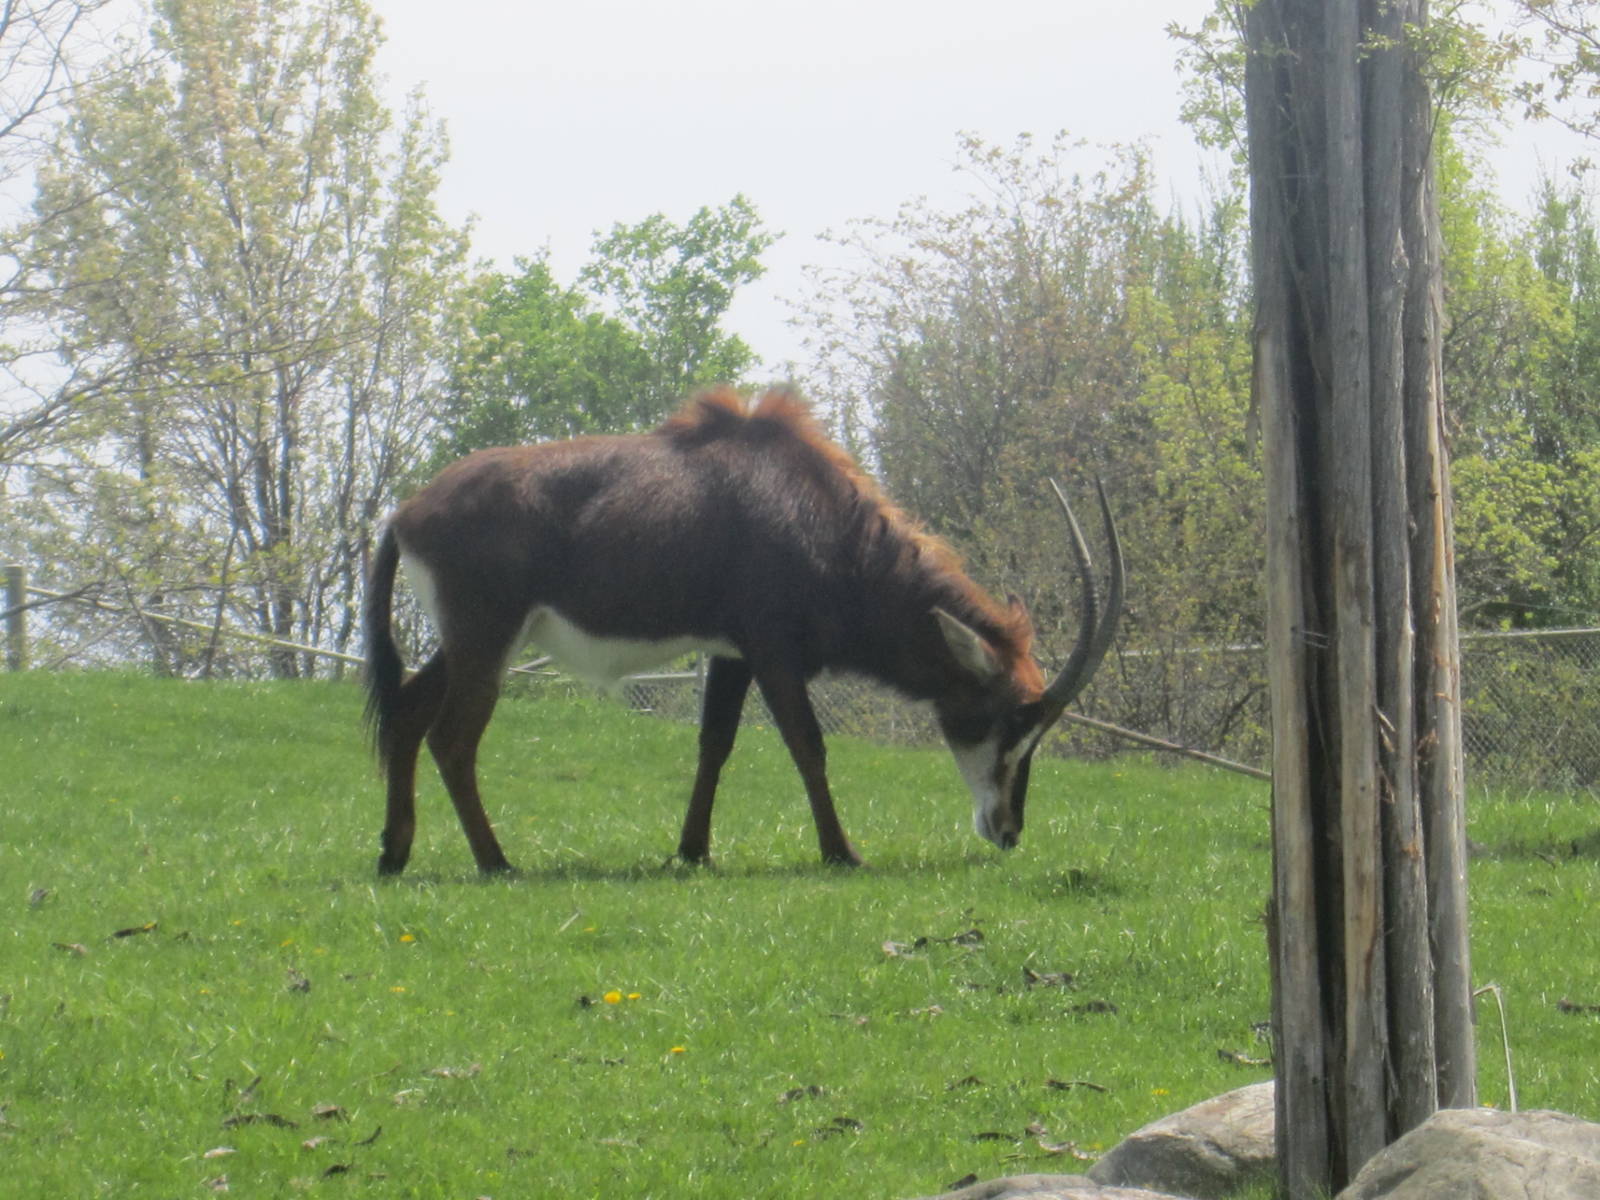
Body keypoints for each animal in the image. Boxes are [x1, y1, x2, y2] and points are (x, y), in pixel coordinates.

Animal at [363, 386, 1122, 874]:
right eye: (1010, 721)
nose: (1008, 831)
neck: (820, 521)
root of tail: (405, 513)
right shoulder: (773, 651)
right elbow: (808, 746)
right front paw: (841, 852)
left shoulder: (731, 655)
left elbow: (715, 745)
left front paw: (693, 851)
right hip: (487, 638)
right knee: (451, 738)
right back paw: (496, 862)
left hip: (471, 642)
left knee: (407, 712)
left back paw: (394, 853)